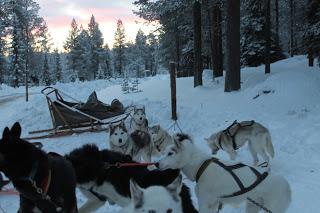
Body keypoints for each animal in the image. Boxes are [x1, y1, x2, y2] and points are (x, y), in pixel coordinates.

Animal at [156, 134, 292, 213]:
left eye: (170, 153)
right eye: (164, 152)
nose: (156, 164)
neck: (200, 166)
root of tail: (287, 185)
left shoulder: (204, 203)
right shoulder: (213, 204)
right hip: (253, 206)